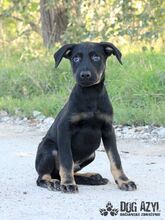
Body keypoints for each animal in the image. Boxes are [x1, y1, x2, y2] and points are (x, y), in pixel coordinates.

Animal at [35, 41, 137, 192]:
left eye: (96, 57)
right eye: (75, 58)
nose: (84, 75)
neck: (91, 94)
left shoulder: (108, 129)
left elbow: (116, 159)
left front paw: (124, 181)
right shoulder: (64, 129)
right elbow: (66, 161)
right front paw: (68, 183)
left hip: (91, 154)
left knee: (70, 171)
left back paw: (92, 177)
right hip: (49, 147)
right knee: (44, 176)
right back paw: (53, 182)